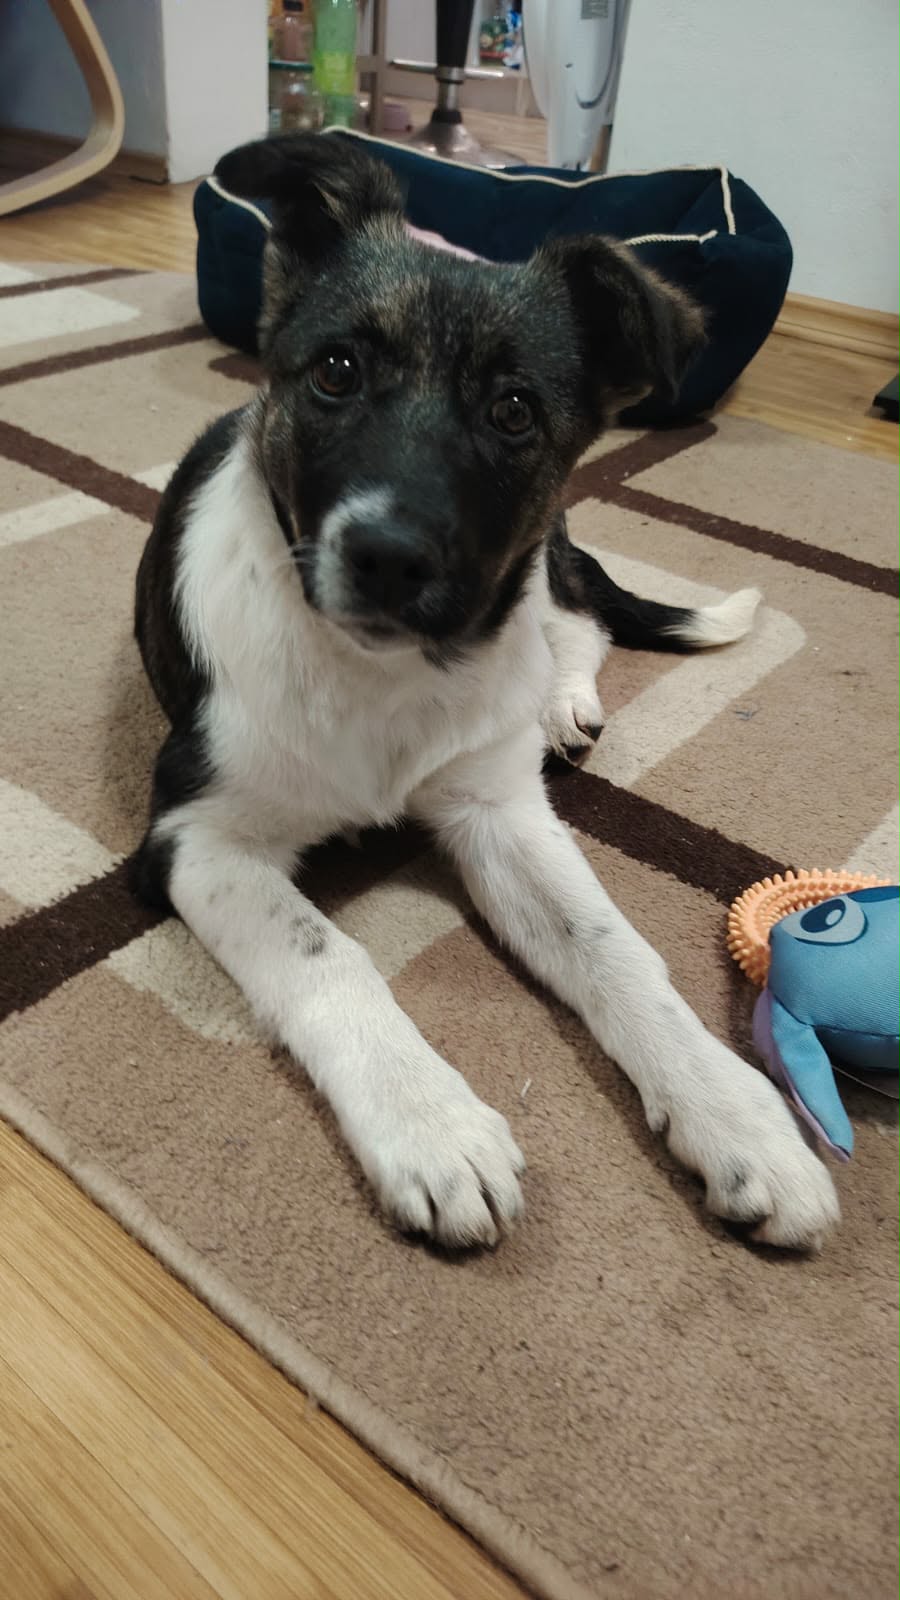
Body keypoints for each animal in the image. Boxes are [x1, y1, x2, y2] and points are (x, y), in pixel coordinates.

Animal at [132, 132, 839, 1252]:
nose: (388, 557)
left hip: (540, 558)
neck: (377, 673)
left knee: (577, 623)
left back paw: (562, 704)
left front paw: (738, 1114)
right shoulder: (197, 835)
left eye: (513, 411)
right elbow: (324, 949)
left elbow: (614, 948)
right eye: (336, 371)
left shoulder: (495, 809)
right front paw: (432, 1126)